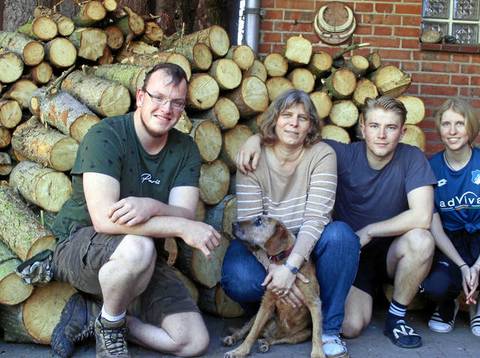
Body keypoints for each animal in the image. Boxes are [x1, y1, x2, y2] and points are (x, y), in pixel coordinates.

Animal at [223, 215, 324, 358]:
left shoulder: (314, 303)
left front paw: (318, 353)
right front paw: (239, 351)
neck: (283, 261)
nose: (233, 223)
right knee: (245, 330)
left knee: (276, 339)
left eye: (259, 221)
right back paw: (233, 338)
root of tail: (269, 332)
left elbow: (317, 333)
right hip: (258, 317)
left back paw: (265, 343)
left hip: (301, 334)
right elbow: (251, 334)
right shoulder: (266, 304)